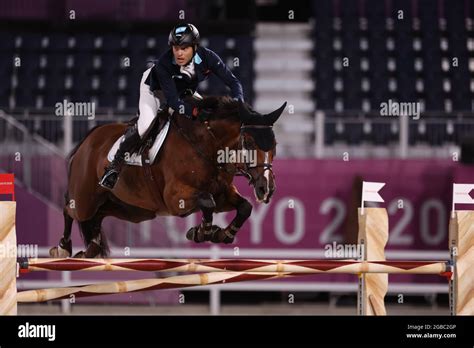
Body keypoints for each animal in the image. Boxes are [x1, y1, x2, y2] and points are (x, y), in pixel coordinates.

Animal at [49, 96, 286, 258]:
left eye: (275, 145)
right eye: (250, 142)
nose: (267, 189)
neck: (207, 146)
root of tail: (88, 140)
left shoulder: (222, 194)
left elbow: (244, 207)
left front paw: (222, 234)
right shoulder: (176, 199)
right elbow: (206, 202)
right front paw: (201, 232)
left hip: (128, 209)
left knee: (96, 218)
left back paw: (91, 249)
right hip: (85, 198)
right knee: (69, 208)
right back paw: (62, 248)